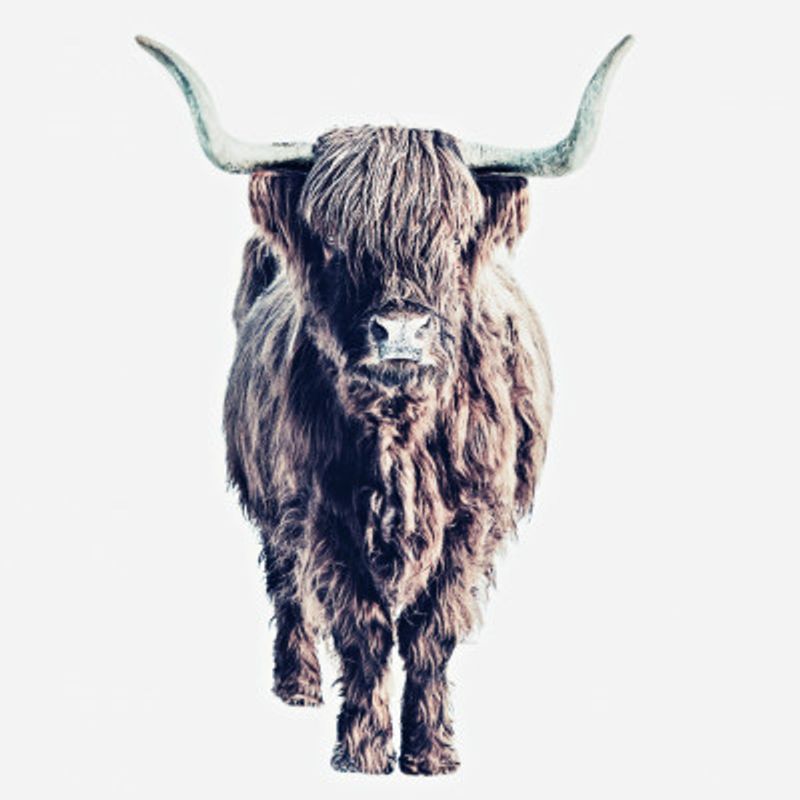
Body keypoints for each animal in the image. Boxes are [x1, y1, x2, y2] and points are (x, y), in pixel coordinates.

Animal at [137, 35, 632, 775]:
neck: (400, 433)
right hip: (269, 497)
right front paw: (363, 752)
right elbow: (363, 629)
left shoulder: (471, 520)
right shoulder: (322, 511)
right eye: (336, 244)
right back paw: (297, 685)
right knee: (285, 583)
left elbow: (430, 632)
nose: (400, 330)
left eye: (451, 240)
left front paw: (429, 753)